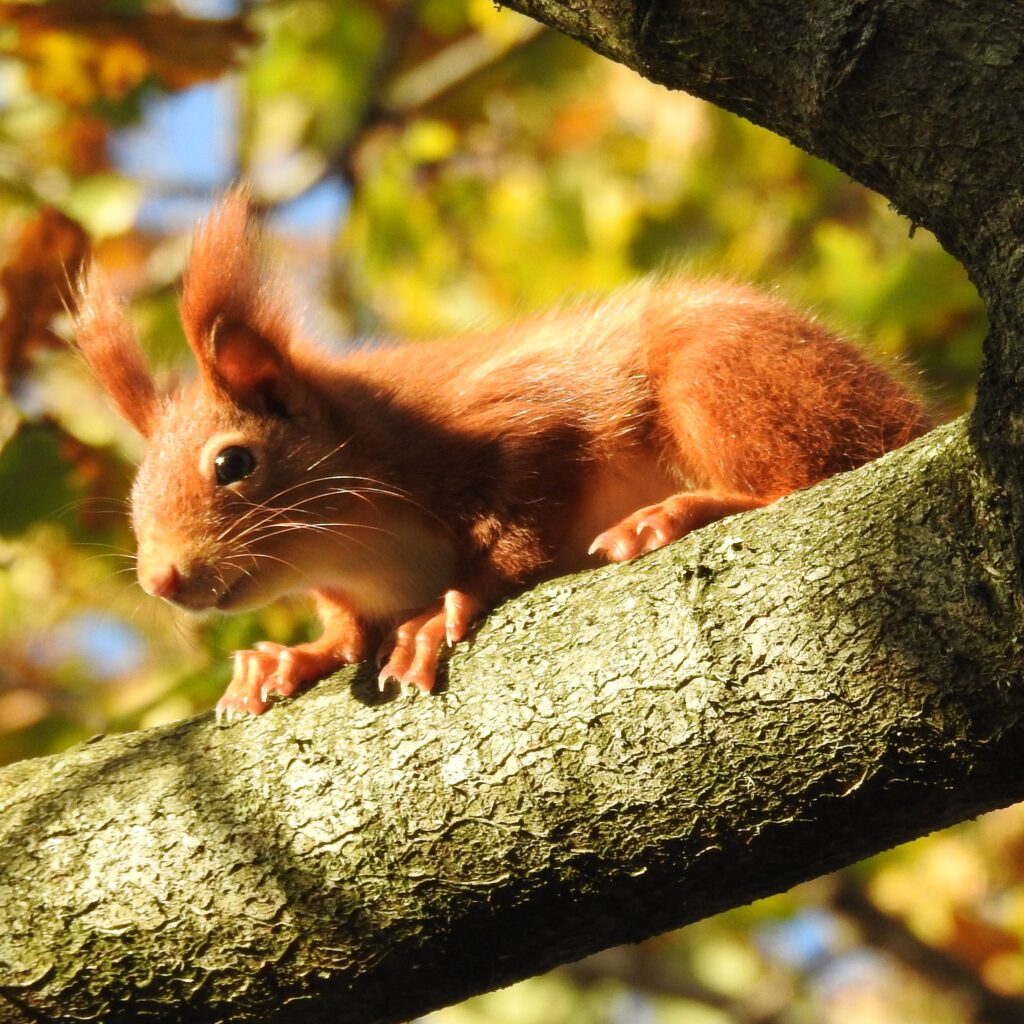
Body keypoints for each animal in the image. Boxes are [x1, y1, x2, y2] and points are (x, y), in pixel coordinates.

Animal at [72, 189, 929, 720]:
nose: (160, 579)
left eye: (233, 464)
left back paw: (681, 511)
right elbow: (346, 631)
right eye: (134, 492)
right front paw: (294, 657)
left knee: (801, 477)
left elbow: (522, 514)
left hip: (720, 375)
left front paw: (449, 604)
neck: (363, 548)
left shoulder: (519, 419)